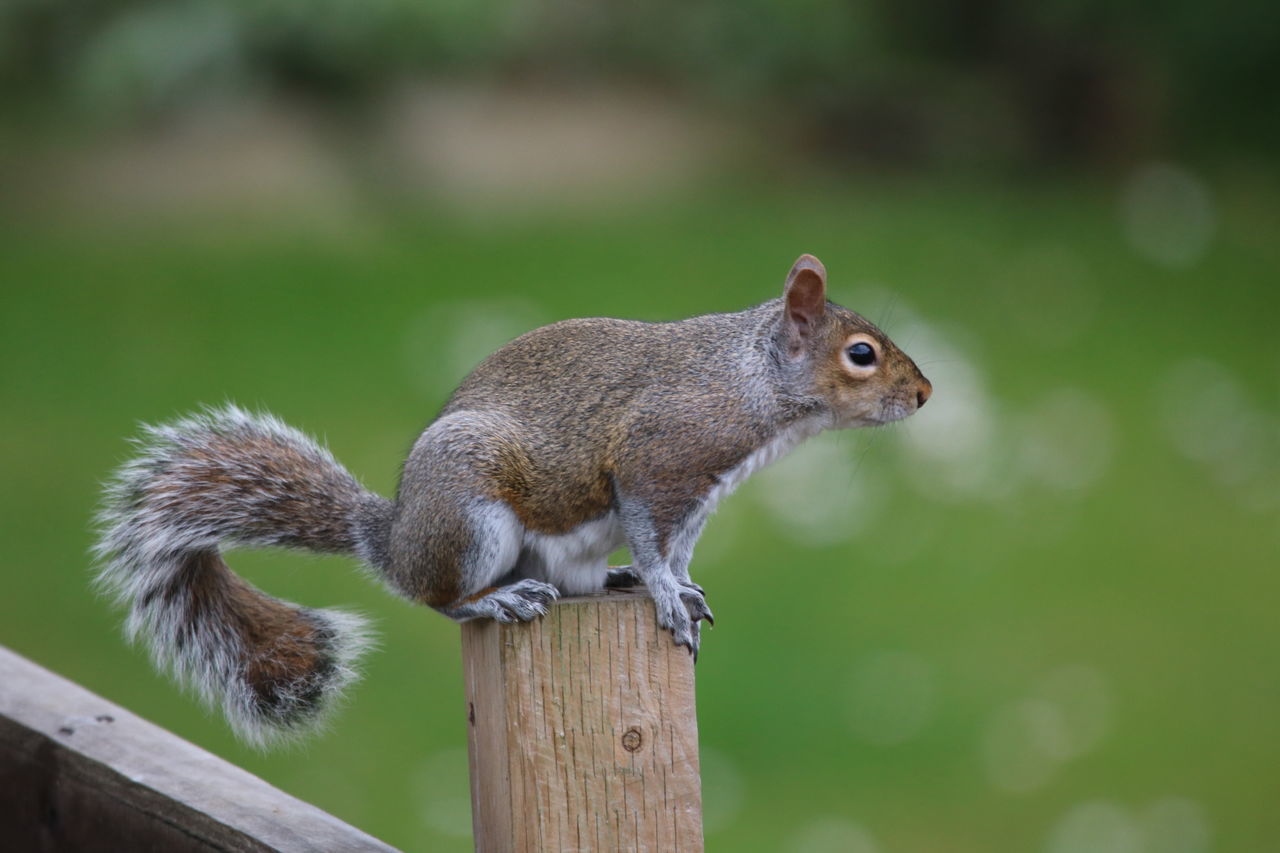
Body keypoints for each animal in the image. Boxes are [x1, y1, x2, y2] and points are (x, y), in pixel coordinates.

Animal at [92, 249, 931, 742]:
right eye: (862, 355)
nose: (924, 394)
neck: (750, 382)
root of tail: (393, 537)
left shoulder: (696, 497)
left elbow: (679, 550)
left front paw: (681, 586)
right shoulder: (654, 463)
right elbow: (653, 539)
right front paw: (665, 594)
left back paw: (605, 579)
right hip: (471, 518)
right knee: (439, 597)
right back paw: (498, 599)